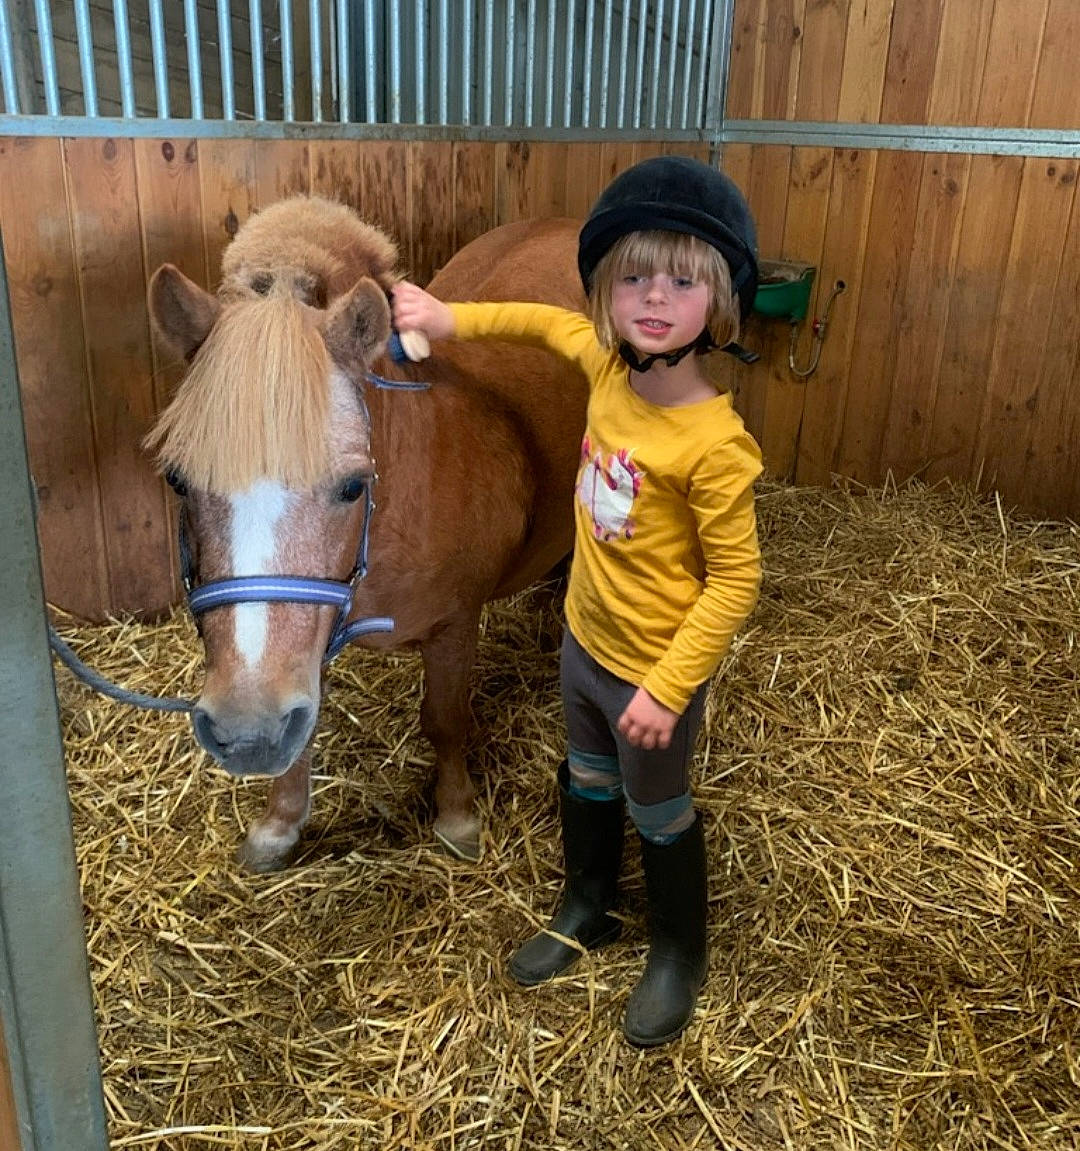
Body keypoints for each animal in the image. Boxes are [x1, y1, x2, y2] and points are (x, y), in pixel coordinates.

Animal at [146, 196, 588, 870]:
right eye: (178, 480)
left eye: (353, 486)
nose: (247, 734)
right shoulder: (306, 639)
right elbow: (304, 725)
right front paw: (280, 824)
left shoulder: (454, 624)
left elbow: (445, 720)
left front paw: (456, 817)